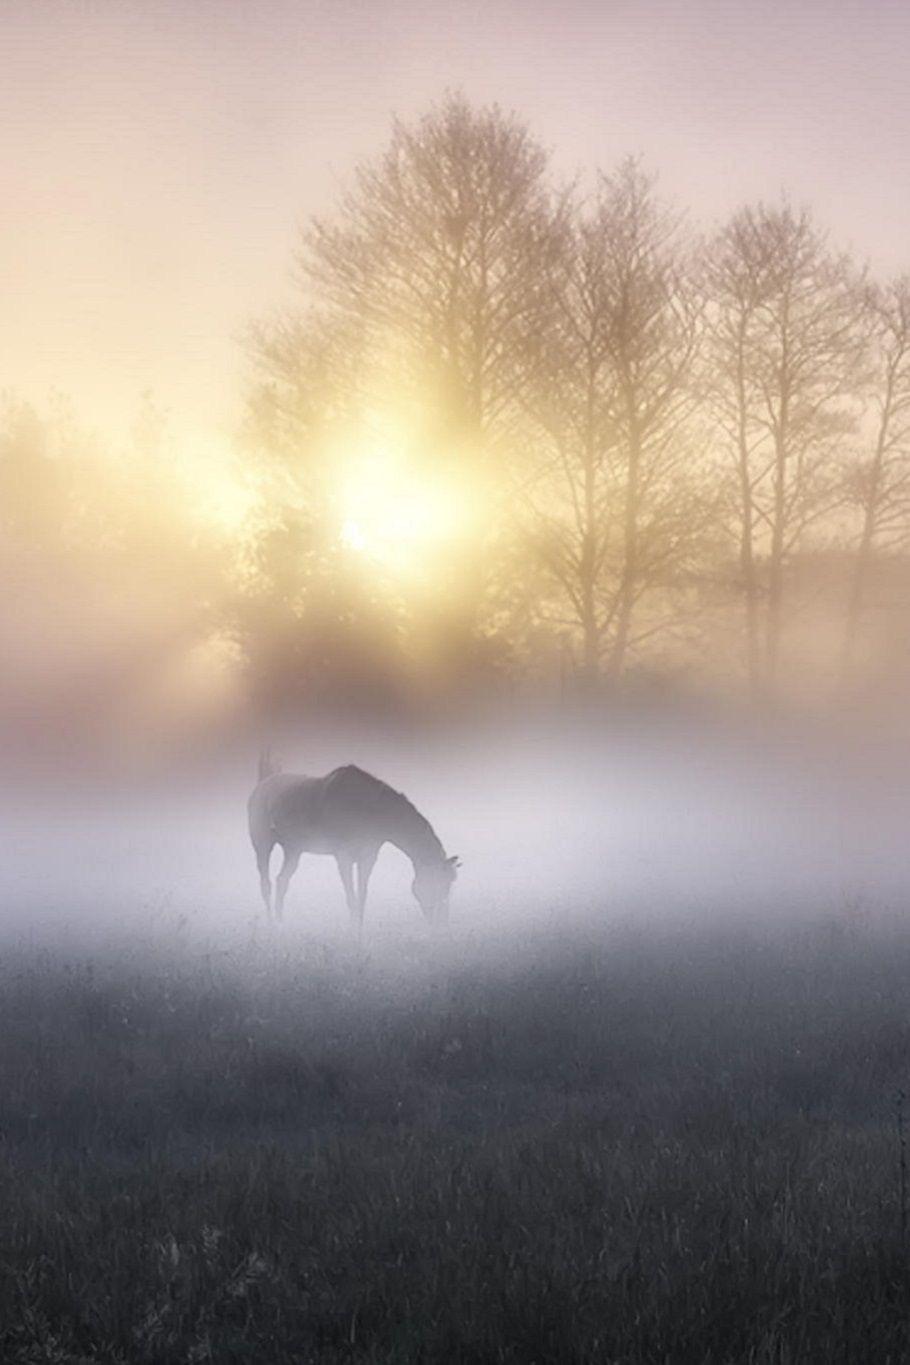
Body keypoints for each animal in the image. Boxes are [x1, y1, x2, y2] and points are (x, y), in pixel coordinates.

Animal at [246, 753, 463, 933]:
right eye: (438, 884)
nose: (442, 925)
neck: (369, 809)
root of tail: (261, 784)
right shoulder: (344, 857)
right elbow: (351, 897)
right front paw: (353, 933)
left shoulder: (368, 858)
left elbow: (362, 896)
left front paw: (359, 930)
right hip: (262, 846)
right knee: (266, 884)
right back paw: (272, 924)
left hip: (293, 851)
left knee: (282, 881)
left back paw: (281, 922)